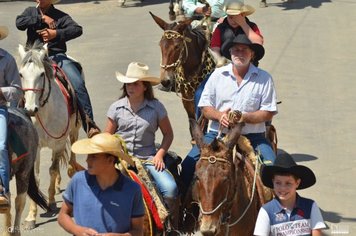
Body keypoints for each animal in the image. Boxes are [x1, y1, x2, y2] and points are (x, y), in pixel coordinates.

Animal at [18, 42, 83, 229]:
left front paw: (52, 203)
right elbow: (36, 177)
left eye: (41, 74)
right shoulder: (36, 147)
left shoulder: (59, 142)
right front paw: (30, 217)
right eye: (21, 74)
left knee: (71, 152)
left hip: (73, 129)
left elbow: (52, 170)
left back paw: (71, 170)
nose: (30, 109)